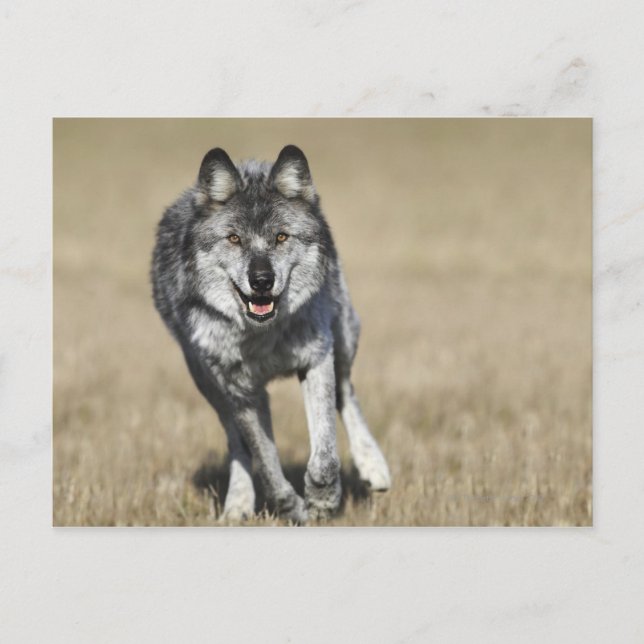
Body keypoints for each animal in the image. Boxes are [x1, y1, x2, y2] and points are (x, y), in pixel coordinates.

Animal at [151, 145, 391, 523]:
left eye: (281, 237)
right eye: (234, 238)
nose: (261, 280)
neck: (262, 337)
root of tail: (253, 164)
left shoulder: (316, 361)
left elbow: (325, 455)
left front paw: (322, 502)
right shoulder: (240, 393)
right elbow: (265, 465)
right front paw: (293, 507)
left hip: (344, 338)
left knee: (346, 392)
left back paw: (374, 466)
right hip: (210, 386)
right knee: (237, 442)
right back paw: (237, 504)